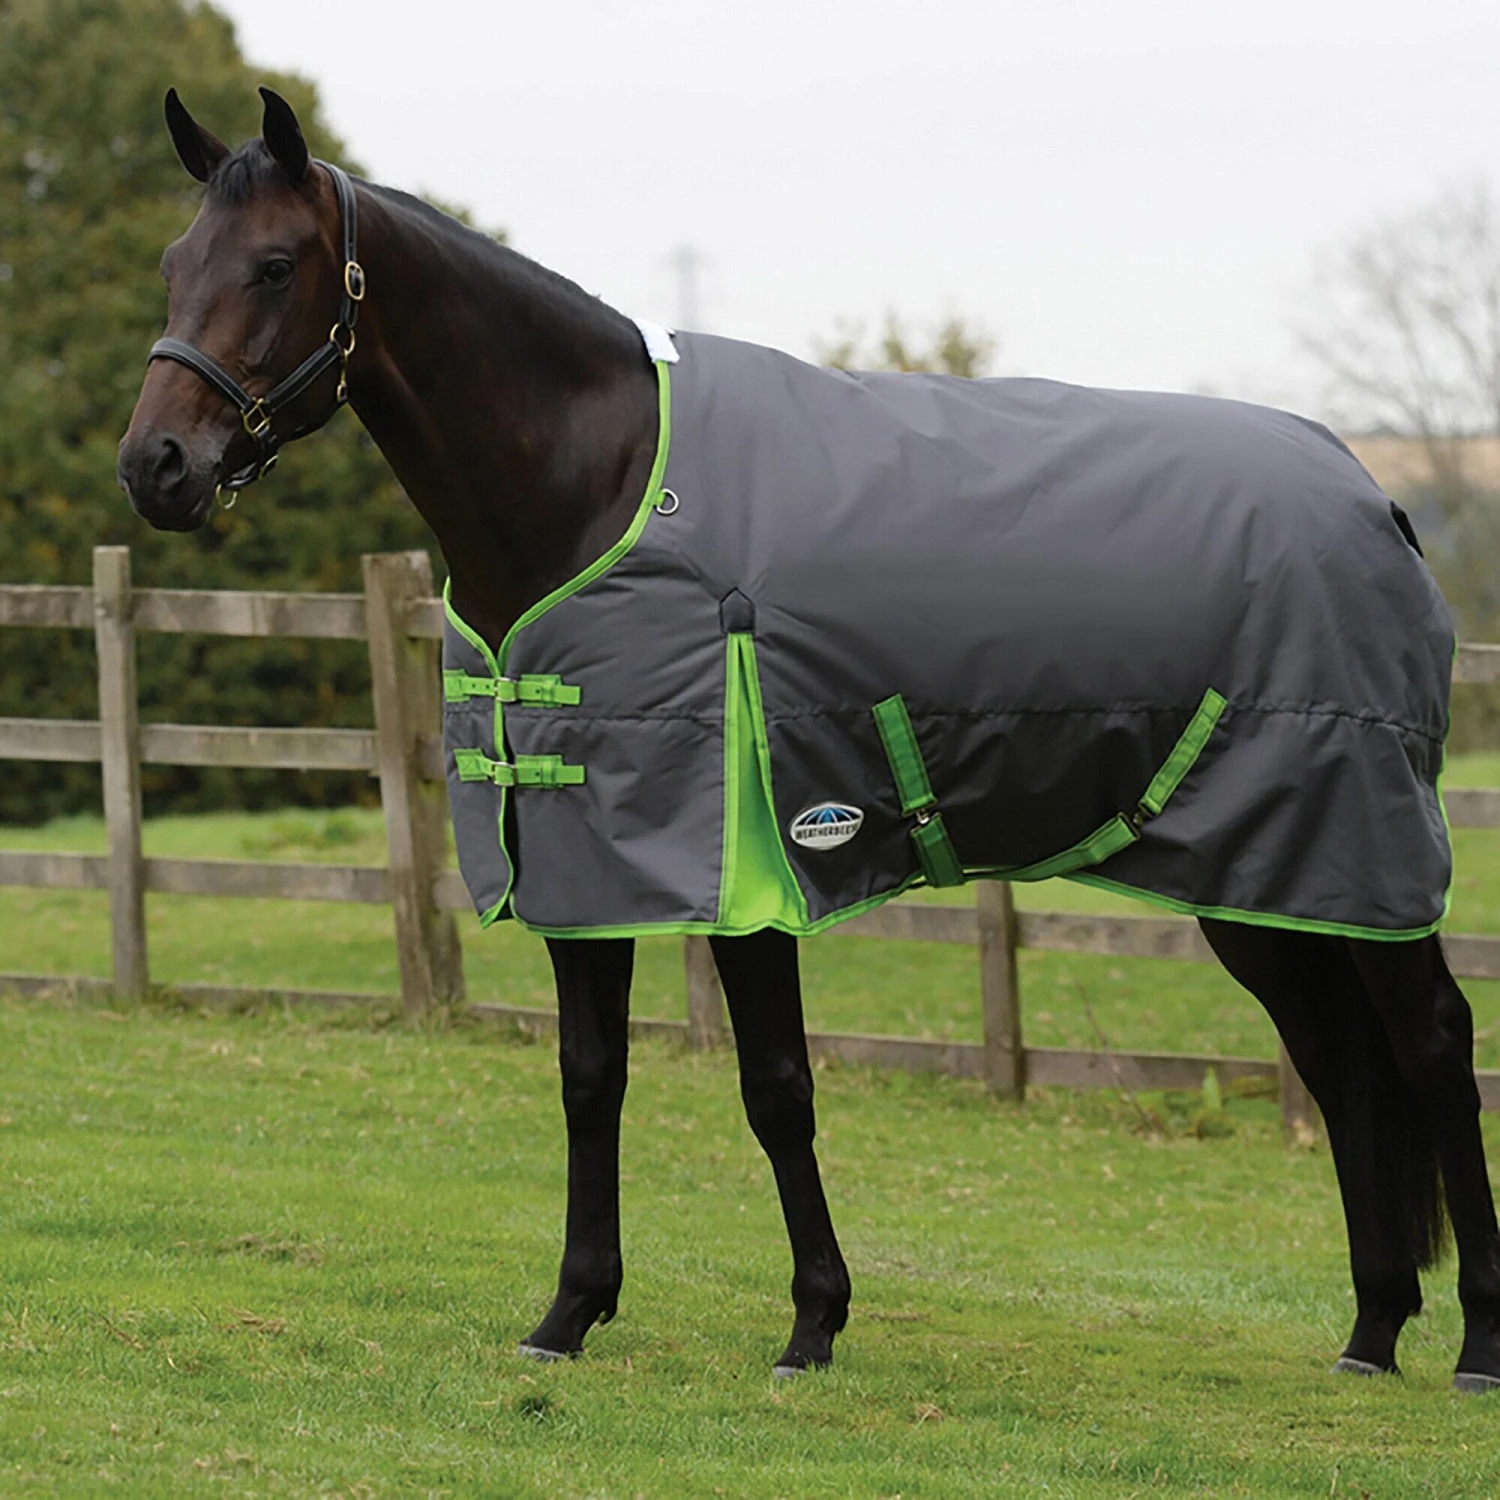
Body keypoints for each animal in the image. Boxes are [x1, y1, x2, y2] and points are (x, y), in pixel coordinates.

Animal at [117, 87, 1500, 1390]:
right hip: (1264, 877)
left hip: (1361, 843)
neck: (599, 482)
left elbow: (777, 1089)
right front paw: (569, 1314)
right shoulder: (583, 856)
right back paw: (1373, 1330)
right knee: (1337, 1061)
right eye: (175, 262)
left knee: (1433, 1043)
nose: (156, 465)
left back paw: (1475, 1346)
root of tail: (1376, 497)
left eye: (276, 266)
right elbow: (589, 1075)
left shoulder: (751, 864)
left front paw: (813, 1324)